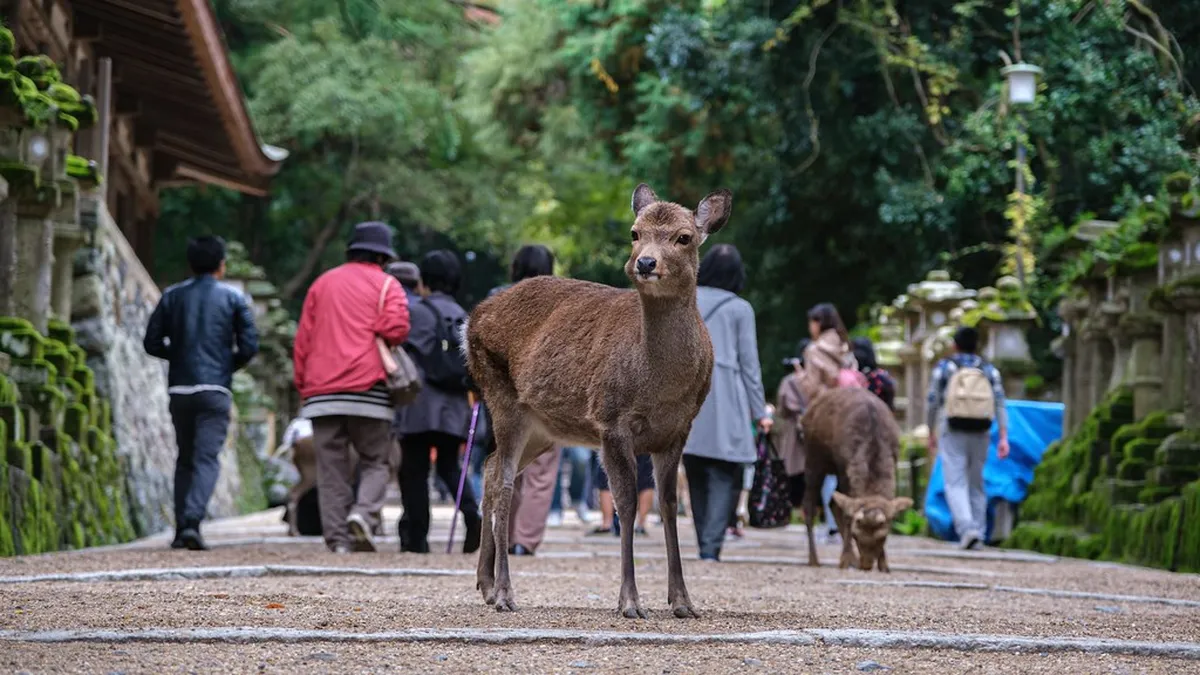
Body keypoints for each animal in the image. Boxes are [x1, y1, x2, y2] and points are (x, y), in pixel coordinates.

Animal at [463, 184, 732, 619]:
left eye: (684, 237)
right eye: (635, 232)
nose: (645, 262)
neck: (658, 386)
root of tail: (472, 317)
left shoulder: (679, 430)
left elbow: (668, 504)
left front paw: (682, 602)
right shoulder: (611, 419)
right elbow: (626, 503)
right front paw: (630, 602)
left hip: (544, 429)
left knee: (489, 470)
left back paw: (485, 585)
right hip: (501, 397)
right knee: (502, 483)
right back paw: (504, 592)